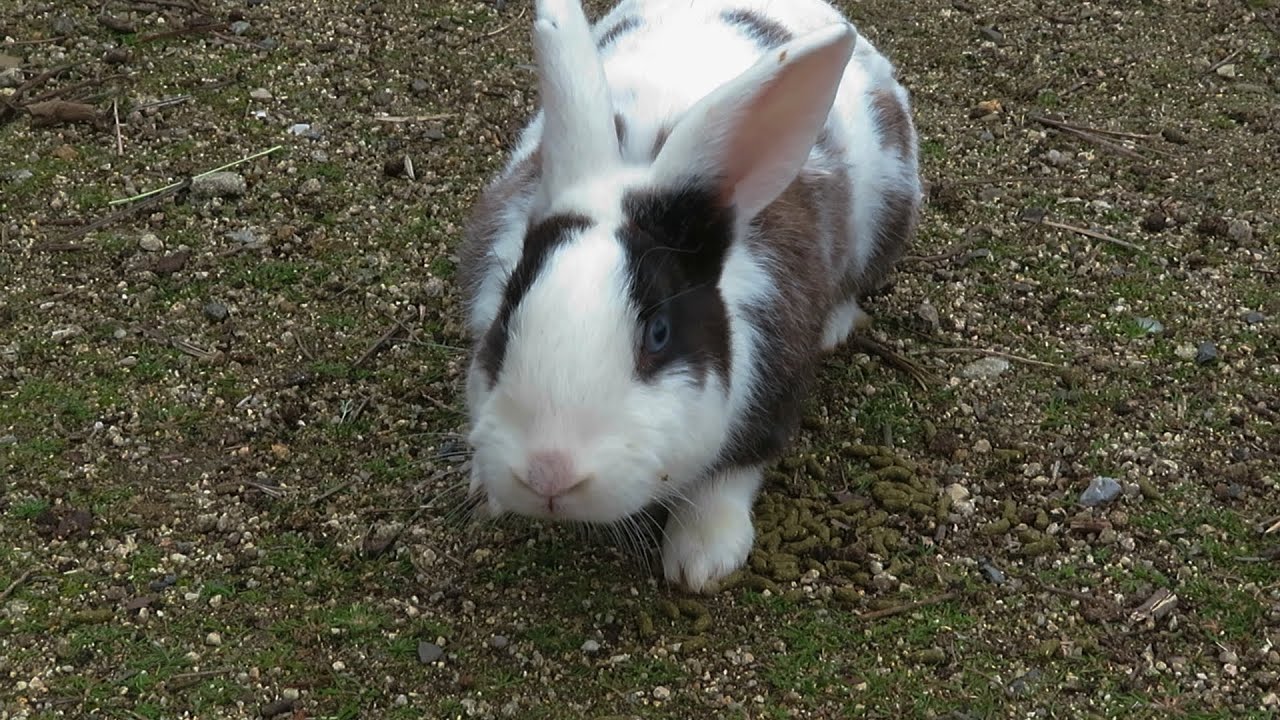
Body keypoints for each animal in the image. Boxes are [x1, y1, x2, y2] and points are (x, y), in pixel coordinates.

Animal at [456, 0, 922, 593]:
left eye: (658, 334)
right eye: (507, 313)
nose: (548, 474)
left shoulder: (771, 396)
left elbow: (727, 476)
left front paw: (703, 559)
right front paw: (483, 489)